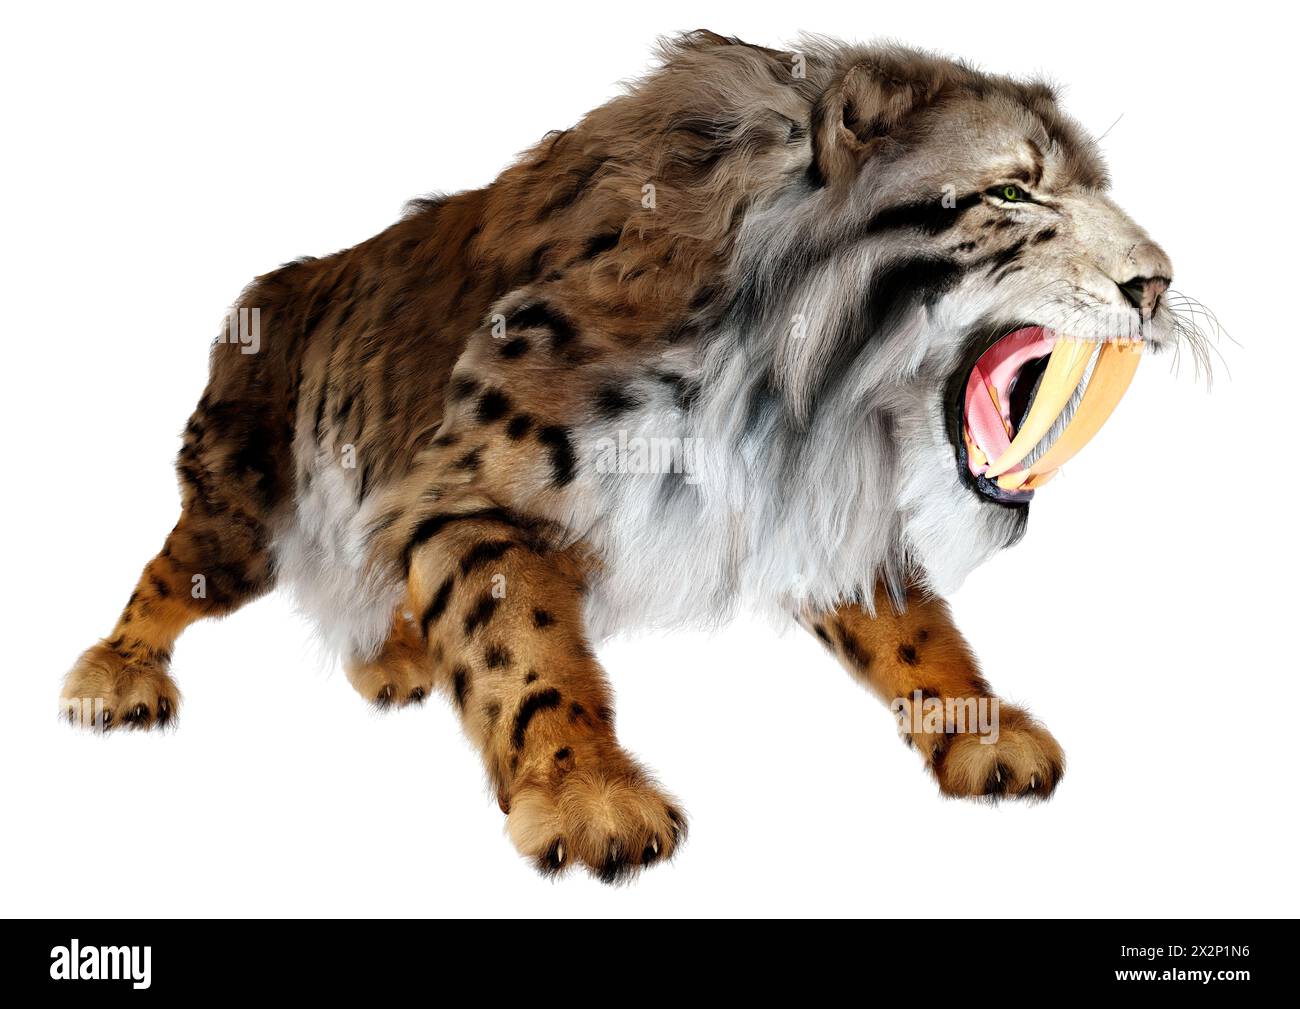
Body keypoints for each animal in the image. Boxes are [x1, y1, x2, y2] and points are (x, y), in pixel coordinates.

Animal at [61, 30, 1207, 882]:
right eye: (1013, 195)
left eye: (1099, 189)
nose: (1158, 283)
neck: (798, 395)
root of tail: (274, 282)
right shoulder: (465, 497)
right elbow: (526, 654)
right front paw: (586, 797)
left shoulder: (811, 504)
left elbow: (916, 631)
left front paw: (979, 728)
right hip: (240, 516)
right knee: (167, 572)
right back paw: (114, 676)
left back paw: (392, 657)